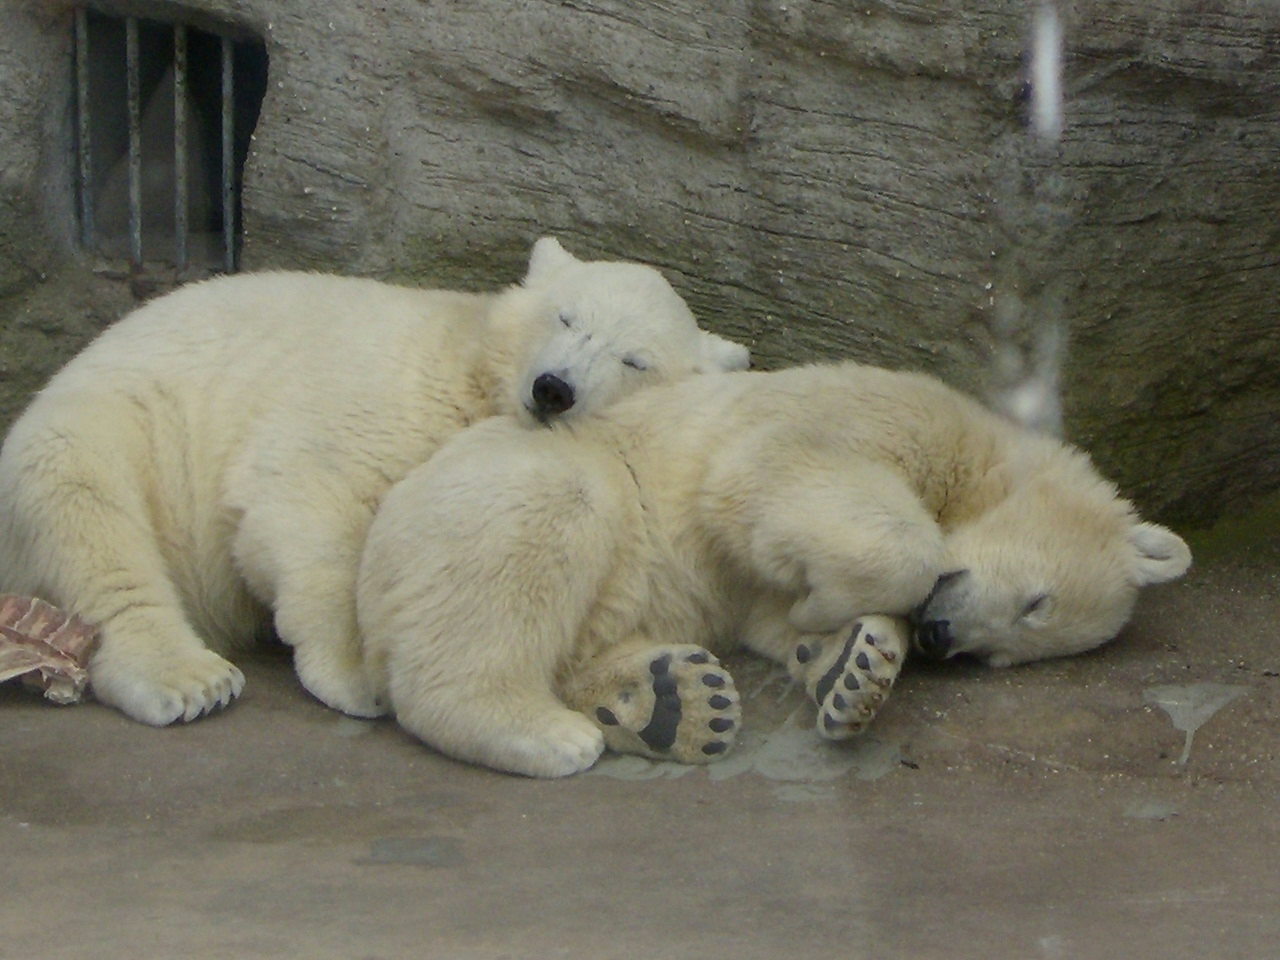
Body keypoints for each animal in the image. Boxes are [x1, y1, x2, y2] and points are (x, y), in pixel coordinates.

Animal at [0, 239, 747, 727]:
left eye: (635, 360)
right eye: (565, 316)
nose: (553, 389)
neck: (474, 375)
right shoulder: (380, 393)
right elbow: (307, 493)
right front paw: (357, 677)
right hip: (119, 424)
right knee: (85, 503)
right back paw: (186, 677)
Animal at [355, 363, 1192, 778]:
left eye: (999, 659)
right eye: (1037, 604)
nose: (943, 638)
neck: (981, 453)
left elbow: (769, 602)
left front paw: (847, 661)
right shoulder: (883, 412)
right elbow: (774, 473)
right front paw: (834, 613)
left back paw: (671, 703)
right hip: (502, 486)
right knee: (535, 532)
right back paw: (541, 733)